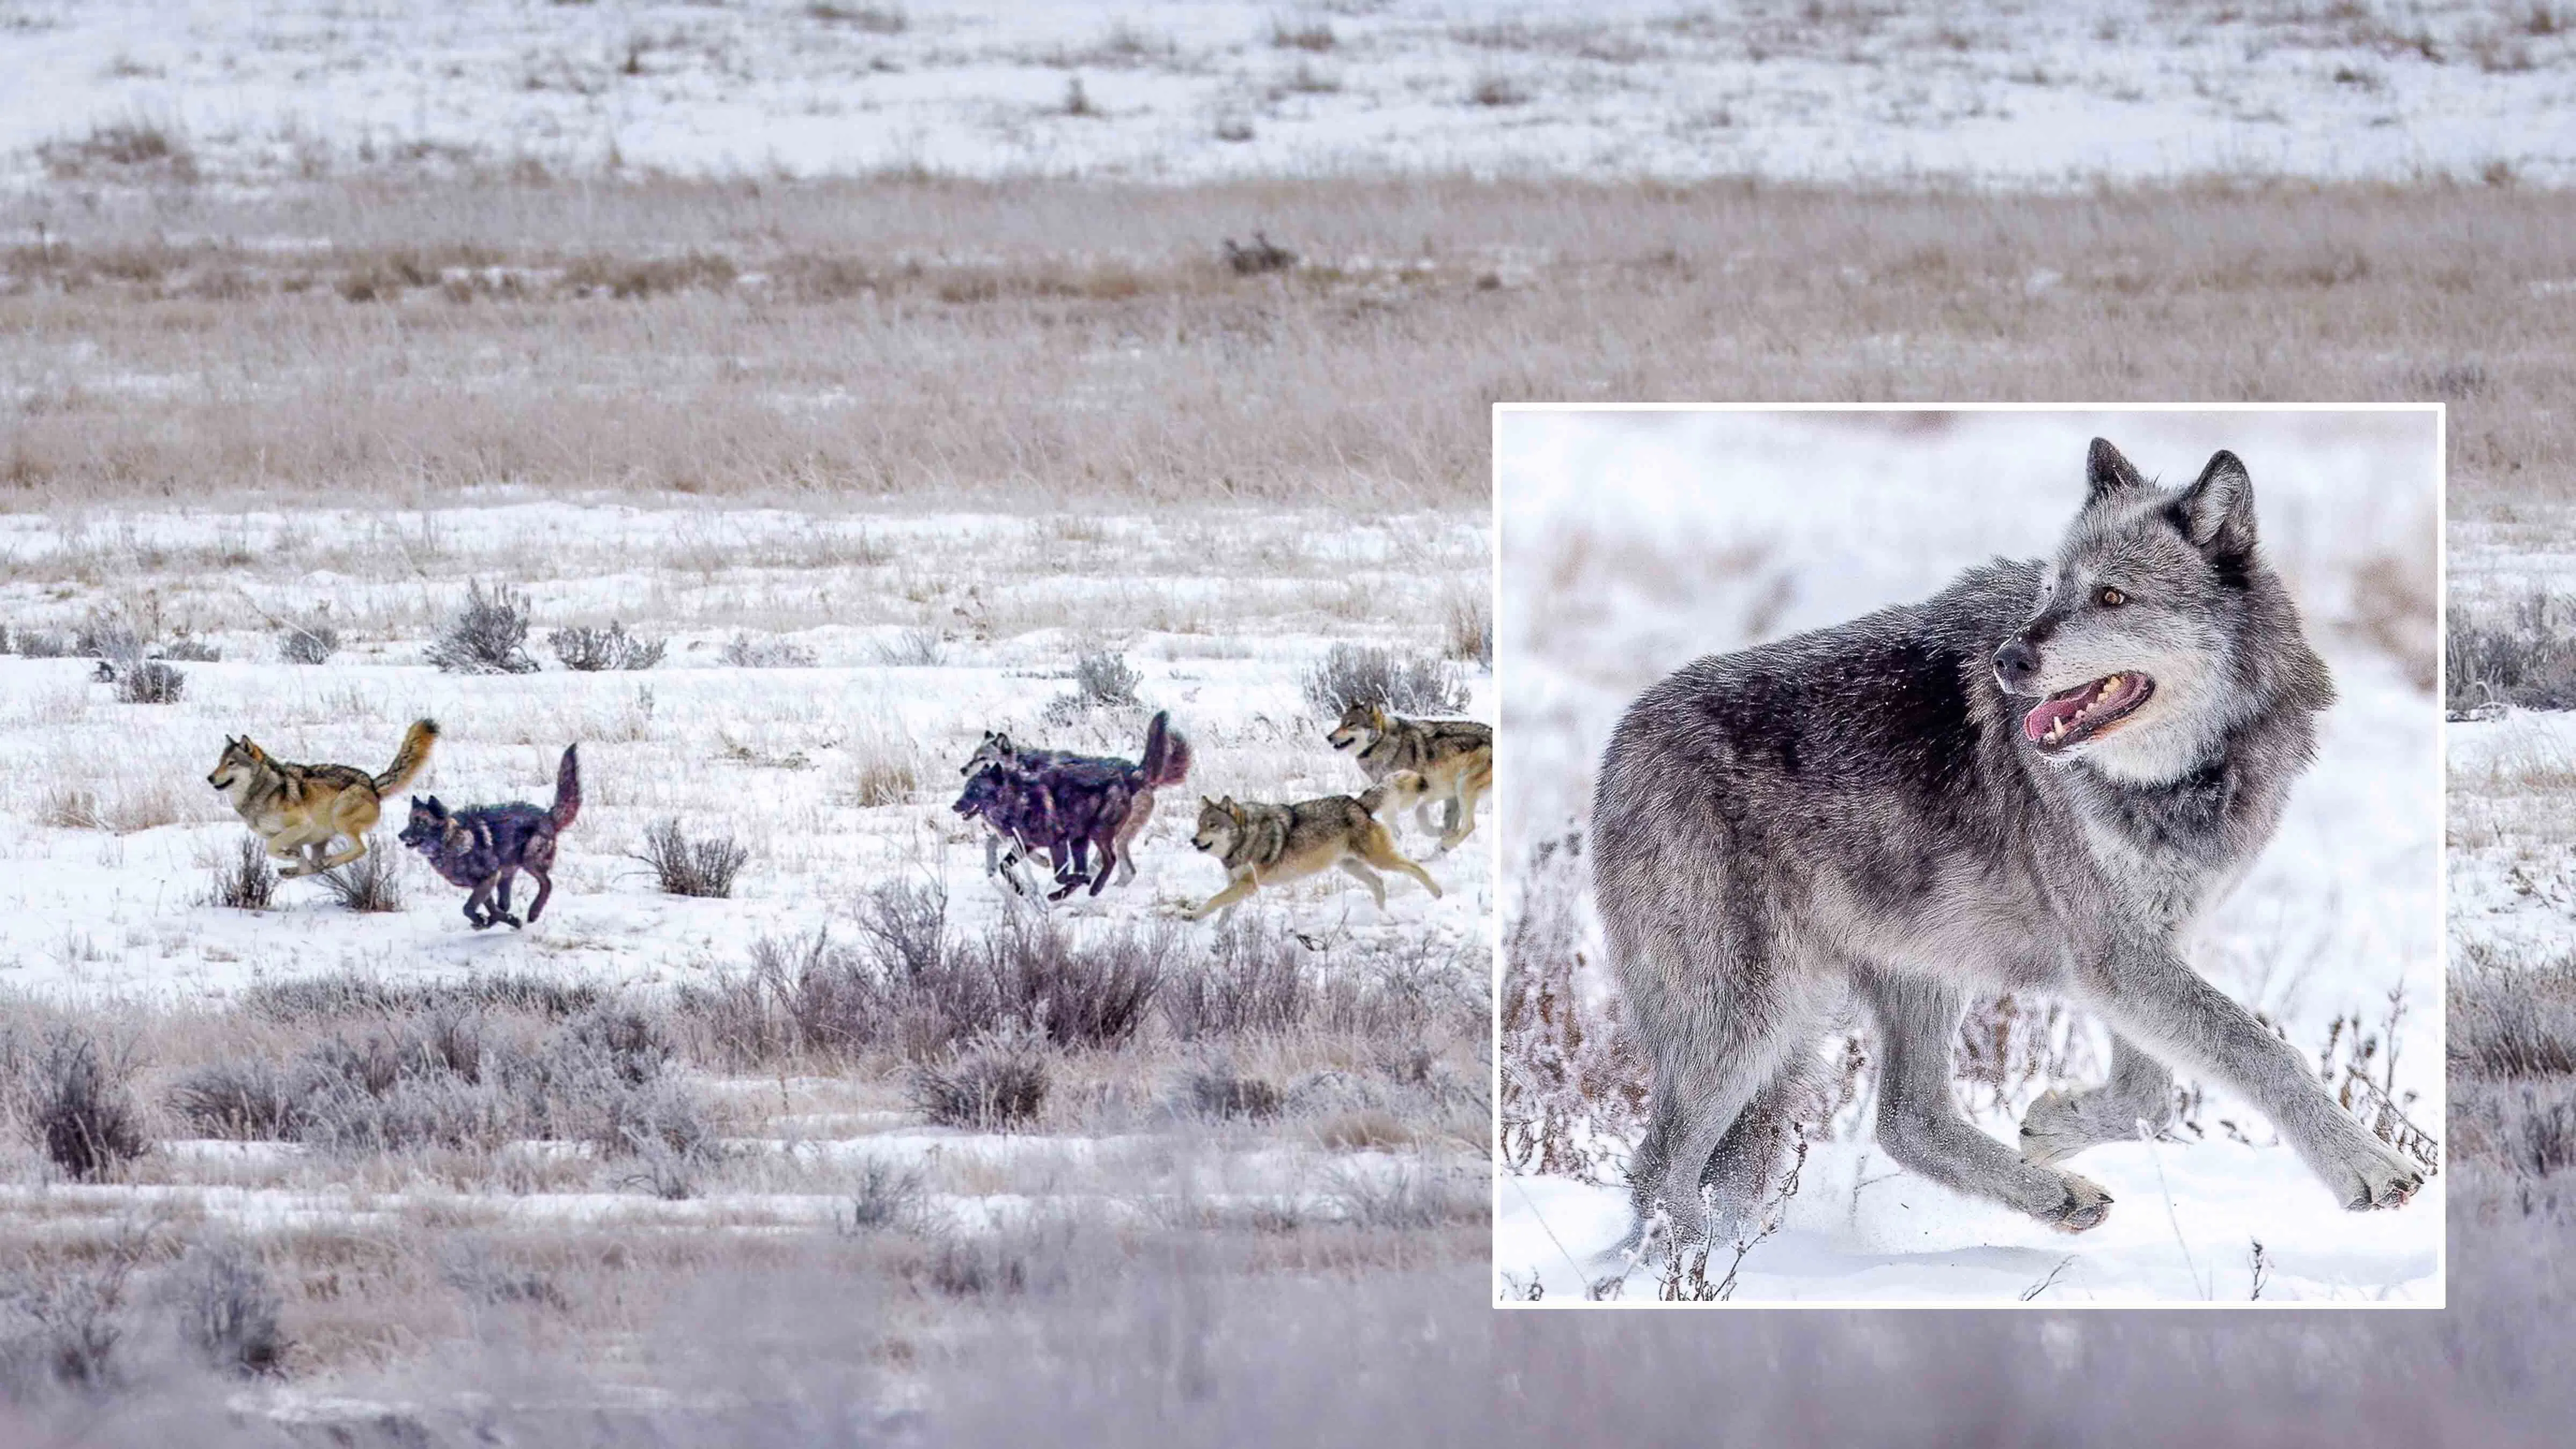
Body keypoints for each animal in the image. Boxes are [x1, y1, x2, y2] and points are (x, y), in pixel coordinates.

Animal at [207, 719, 439, 876]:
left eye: (231, 763)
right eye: (220, 762)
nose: (210, 778)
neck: (262, 793)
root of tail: (371, 784)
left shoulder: (301, 826)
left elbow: (271, 847)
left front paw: (288, 857)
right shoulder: (294, 838)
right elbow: (295, 859)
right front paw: (293, 861)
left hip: (340, 818)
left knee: (360, 850)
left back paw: (329, 862)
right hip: (321, 838)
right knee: (312, 867)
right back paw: (298, 870)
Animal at [399, 745, 581, 930]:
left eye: (421, 824)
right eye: (410, 822)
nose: (400, 836)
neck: (451, 843)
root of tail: (547, 816)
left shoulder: (489, 877)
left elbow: (469, 908)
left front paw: (486, 920)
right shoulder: (483, 883)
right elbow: (491, 908)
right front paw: (502, 921)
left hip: (529, 861)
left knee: (547, 884)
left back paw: (534, 912)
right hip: (507, 874)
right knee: (505, 903)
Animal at [1185, 775, 1443, 921]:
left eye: (1213, 825)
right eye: (1199, 825)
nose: (1194, 840)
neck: (1245, 840)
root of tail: (1357, 803)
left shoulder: (1248, 885)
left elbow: (1213, 901)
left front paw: (1191, 916)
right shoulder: (1237, 885)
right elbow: (1223, 912)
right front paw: (1218, 942)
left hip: (1380, 860)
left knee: (1415, 868)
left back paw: (1438, 894)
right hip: (1351, 866)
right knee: (1379, 882)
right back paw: (1383, 916)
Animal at [1326, 703, 1491, 848]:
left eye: (1351, 724)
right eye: (1341, 723)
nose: (1329, 737)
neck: (1382, 744)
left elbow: (1417, 817)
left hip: (1463, 788)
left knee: (1469, 826)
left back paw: (1444, 846)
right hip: (1457, 794)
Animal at [1593, 439, 2423, 1254]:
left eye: (2112, 598)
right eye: (2051, 591)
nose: (2009, 660)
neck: (2176, 781)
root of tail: (1618, 746)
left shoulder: (2139, 953)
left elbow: (2152, 1096)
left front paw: (2054, 1125)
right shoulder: (2115, 958)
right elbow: (2261, 1051)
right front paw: (2369, 1165)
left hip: (1914, 976)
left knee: (1907, 1123)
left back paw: (2057, 1197)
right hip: (1749, 1026)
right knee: (1660, 1168)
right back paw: (1693, 1264)